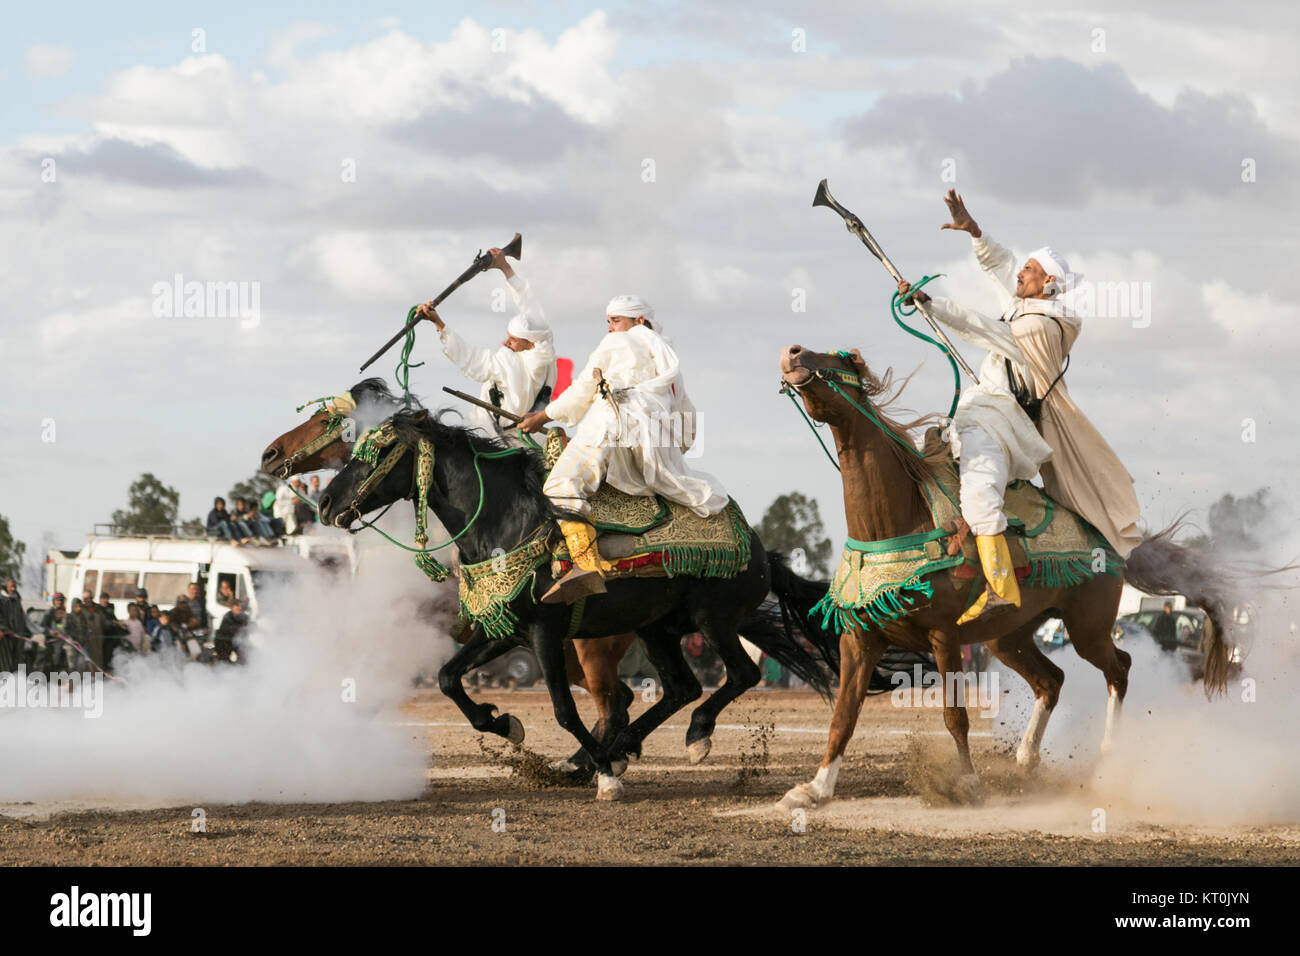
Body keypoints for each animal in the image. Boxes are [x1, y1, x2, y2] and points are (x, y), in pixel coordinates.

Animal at [319, 408, 837, 806]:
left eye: (374, 453)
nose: (324, 502)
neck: (508, 521)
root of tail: (759, 547)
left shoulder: (545, 633)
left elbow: (564, 711)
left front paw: (605, 776)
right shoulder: (504, 631)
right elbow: (449, 678)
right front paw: (504, 723)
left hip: (714, 621)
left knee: (738, 675)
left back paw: (688, 739)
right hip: (657, 629)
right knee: (680, 688)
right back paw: (617, 750)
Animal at [769, 348, 1237, 811]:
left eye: (839, 358)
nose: (792, 354)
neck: (897, 523)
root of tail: (1114, 542)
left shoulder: (944, 635)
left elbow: (955, 716)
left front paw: (968, 784)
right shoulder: (859, 641)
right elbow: (843, 715)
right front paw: (814, 789)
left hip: (1088, 628)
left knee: (1119, 668)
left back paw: (1107, 758)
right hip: (1007, 636)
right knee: (1052, 680)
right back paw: (1027, 758)